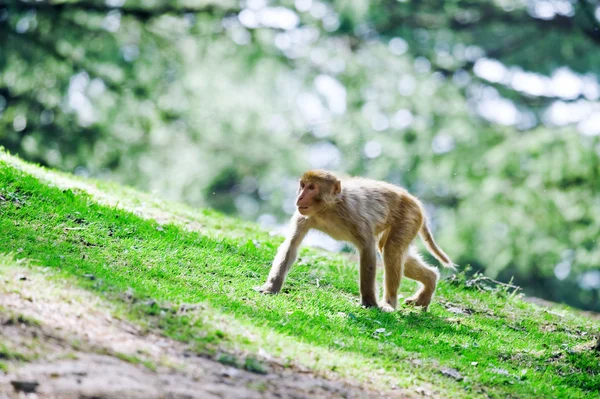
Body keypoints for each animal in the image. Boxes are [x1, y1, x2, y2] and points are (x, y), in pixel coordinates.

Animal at [254, 169, 454, 312]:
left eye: (312, 188)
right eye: (303, 185)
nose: (300, 196)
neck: (328, 208)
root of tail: (417, 202)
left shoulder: (354, 214)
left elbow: (367, 250)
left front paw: (369, 302)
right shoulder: (303, 217)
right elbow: (291, 245)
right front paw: (271, 288)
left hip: (409, 218)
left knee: (391, 251)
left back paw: (389, 303)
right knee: (390, 249)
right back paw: (430, 282)